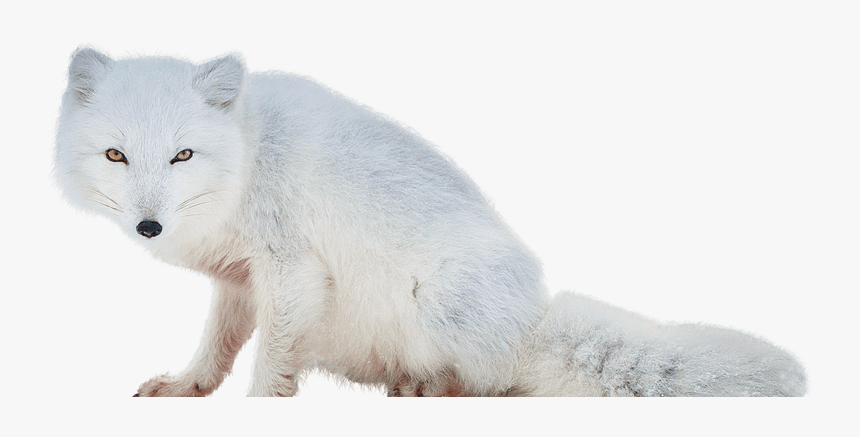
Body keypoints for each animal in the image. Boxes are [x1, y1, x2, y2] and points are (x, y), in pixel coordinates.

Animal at [55, 47, 806, 397]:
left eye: (182, 155)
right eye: (117, 155)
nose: (149, 227)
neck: (248, 154)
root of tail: (531, 317)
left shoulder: (292, 272)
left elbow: (270, 362)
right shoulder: (240, 280)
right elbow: (217, 347)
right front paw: (189, 386)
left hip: (442, 301)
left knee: (496, 381)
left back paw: (434, 387)